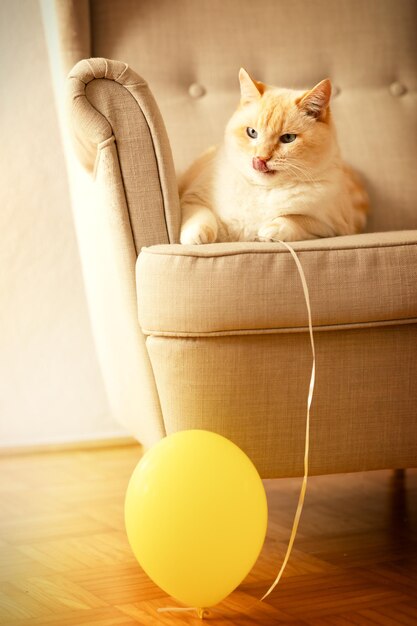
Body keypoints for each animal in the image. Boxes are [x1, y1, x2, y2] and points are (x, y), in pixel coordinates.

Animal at [179, 69, 368, 244]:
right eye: (252, 132)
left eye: (288, 138)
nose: (261, 159)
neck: (263, 190)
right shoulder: (193, 196)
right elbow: (200, 215)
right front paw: (196, 237)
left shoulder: (335, 226)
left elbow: (297, 220)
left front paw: (270, 231)